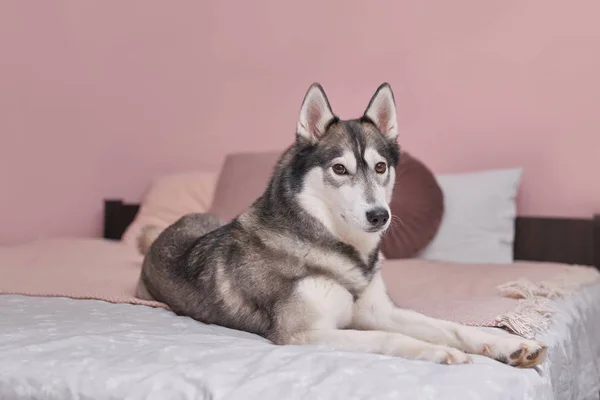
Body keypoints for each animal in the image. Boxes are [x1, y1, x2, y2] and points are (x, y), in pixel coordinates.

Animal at [137, 83, 548, 368]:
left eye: (380, 167)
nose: (379, 216)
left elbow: (451, 325)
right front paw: (437, 351)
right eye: (339, 168)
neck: (336, 247)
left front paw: (509, 345)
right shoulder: (305, 332)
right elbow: (387, 338)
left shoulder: (380, 311)